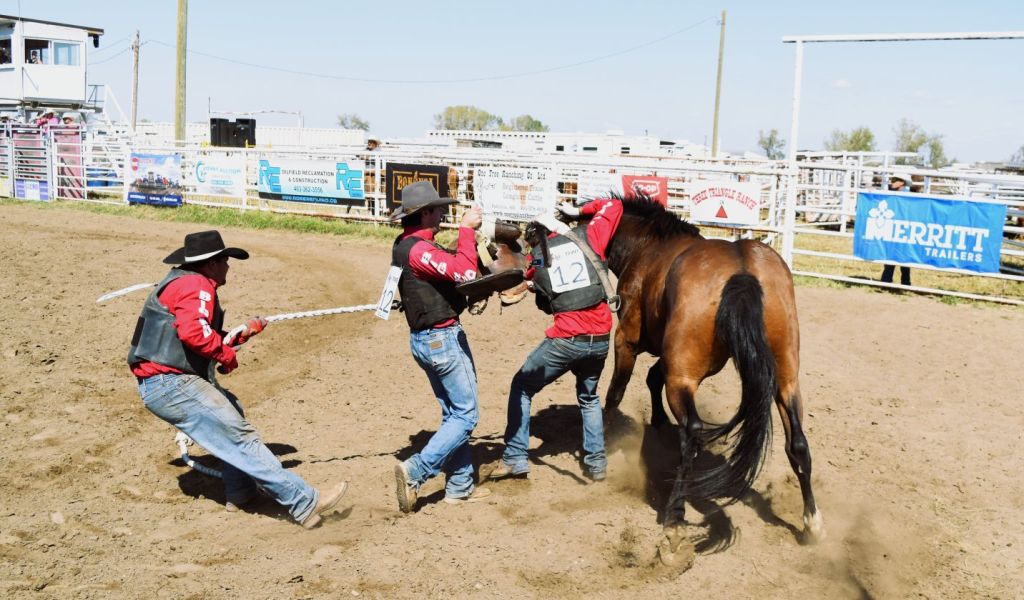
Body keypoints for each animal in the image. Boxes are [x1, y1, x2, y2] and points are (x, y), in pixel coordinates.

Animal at [569, 194, 824, 566]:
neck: (650, 247)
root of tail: (742, 268)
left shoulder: (627, 341)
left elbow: (617, 390)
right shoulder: (669, 356)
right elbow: (651, 377)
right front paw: (658, 422)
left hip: (684, 377)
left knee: (691, 434)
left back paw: (674, 521)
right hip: (785, 379)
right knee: (799, 443)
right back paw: (812, 523)